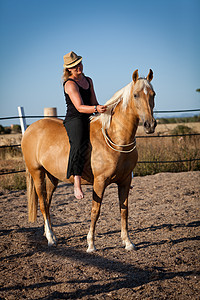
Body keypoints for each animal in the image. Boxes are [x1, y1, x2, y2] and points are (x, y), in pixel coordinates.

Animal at [21, 69, 156, 252]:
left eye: (153, 94)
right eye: (135, 95)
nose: (150, 125)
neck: (115, 136)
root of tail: (30, 129)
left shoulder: (125, 181)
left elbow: (124, 210)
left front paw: (128, 242)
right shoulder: (99, 182)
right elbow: (95, 211)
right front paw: (91, 244)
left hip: (52, 178)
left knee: (47, 204)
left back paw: (50, 234)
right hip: (37, 174)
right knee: (42, 204)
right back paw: (50, 239)